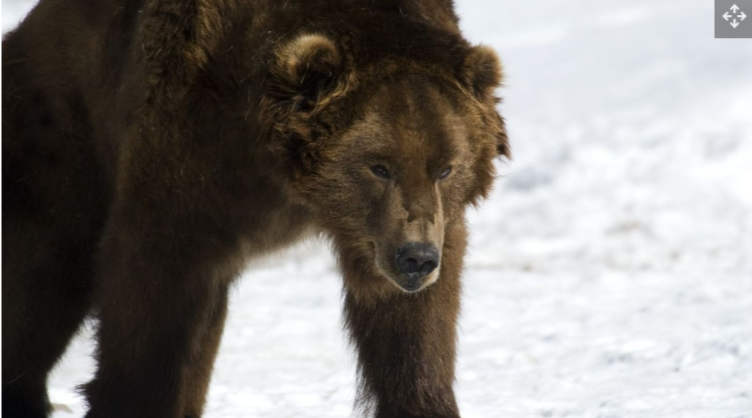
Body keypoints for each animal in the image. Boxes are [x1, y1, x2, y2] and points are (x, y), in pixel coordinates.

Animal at [2, 0, 508, 416]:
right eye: (378, 166)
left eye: (446, 168)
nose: (416, 258)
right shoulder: (189, 152)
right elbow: (151, 287)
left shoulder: (405, 232)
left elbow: (413, 331)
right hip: (63, 138)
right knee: (43, 281)